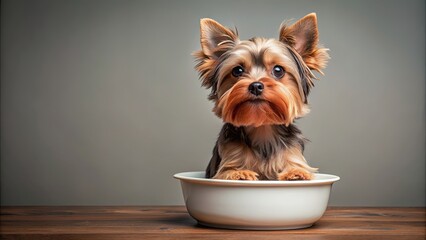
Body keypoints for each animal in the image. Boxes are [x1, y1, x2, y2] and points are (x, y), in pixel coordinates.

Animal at [193, 12, 330, 179]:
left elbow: (296, 167)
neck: (262, 129)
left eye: (278, 70)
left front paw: (296, 173)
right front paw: (240, 173)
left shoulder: (293, 154)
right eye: (237, 70)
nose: (256, 86)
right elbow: (229, 171)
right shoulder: (227, 161)